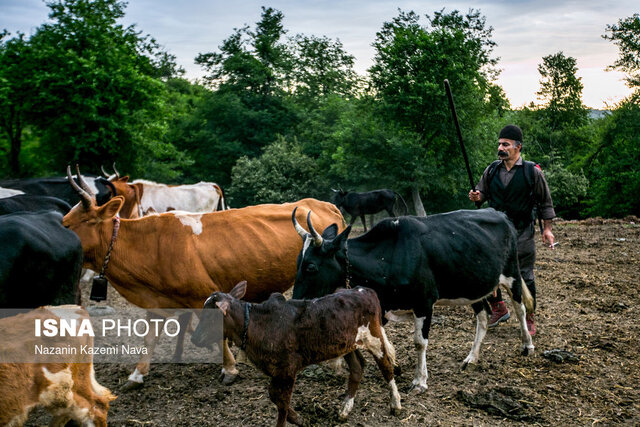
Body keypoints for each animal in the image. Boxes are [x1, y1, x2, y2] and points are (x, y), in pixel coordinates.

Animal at [61, 168, 344, 392]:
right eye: (65, 221)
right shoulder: (155, 300)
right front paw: (137, 374)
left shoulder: (202, 295)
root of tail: (324, 204)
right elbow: (150, 338)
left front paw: (229, 369)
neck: (151, 243)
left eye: (78, 222)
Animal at [191, 282, 400, 426]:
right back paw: (345, 409)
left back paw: (395, 404)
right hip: (347, 344)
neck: (255, 324)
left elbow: (282, 403)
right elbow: (273, 395)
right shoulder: (276, 372)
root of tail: (362, 290)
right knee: (357, 368)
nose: (194, 339)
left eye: (210, 315)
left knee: (386, 367)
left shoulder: (287, 370)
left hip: (373, 337)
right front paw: (298, 418)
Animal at [292, 207, 532, 394]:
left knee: (520, 308)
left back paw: (527, 345)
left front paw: (419, 381)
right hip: (473, 285)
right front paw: (394, 364)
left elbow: (419, 342)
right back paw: (471, 358)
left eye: (311, 266)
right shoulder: (384, 305)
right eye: (297, 262)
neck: (387, 255)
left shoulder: (424, 302)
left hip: (512, 273)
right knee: (483, 317)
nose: (295, 302)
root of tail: (499, 213)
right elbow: (381, 338)